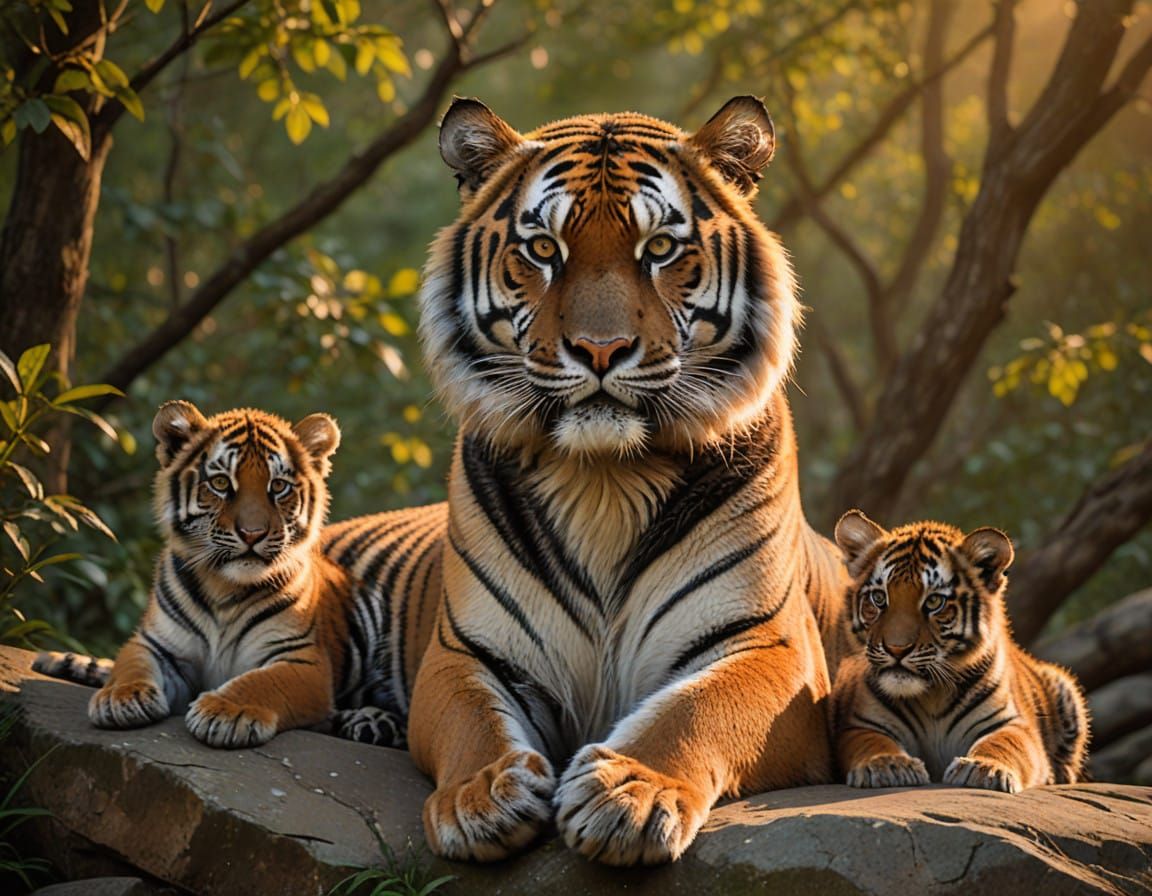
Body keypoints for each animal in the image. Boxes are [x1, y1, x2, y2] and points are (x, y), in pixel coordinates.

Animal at [35, 401, 445, 749]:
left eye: (278, 486)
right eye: (220, 484)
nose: (252, 534)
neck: (224, 587)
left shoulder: (300, 660)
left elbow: (261, 682)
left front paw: (224, 712)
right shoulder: (157, 644)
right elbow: (130, 664)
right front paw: (121, 698)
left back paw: (372, 723)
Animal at [405, 95, 851, 866]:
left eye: (661, 248)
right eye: (544, 250)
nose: (601, 350)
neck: (604, 481)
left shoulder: (772, 647)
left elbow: (696, 709)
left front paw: (629, 795)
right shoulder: (463, 651)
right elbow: (473, 720)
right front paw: (483, 796)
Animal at [831, 510, 1089, 792]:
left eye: (934, 601)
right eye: (878, 598)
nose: (896, 649)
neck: (930, 696)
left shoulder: (1013, 724)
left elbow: (1004, 744)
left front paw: (983, 769)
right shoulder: (860, 725)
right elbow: (873, 742)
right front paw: (888, 765)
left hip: (1065, 688)